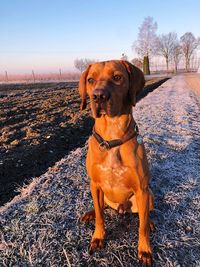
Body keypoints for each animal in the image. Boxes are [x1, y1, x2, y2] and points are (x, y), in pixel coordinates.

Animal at [79, 60, 154, 266]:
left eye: (117, 77)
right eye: (90, 80)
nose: (98, 96)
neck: (111, 137)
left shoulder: (142, 189)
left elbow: (142, 226)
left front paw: (145, 250)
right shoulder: (95, 185)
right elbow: (100, 217)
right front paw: (98, 237)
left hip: (149, 195)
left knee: (145, 215)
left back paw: (152, 222)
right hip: (103, 195)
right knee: (101, 208)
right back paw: (89, 213)